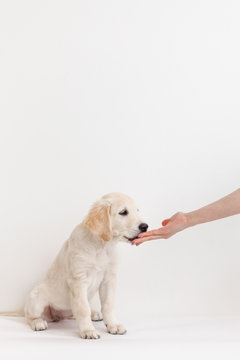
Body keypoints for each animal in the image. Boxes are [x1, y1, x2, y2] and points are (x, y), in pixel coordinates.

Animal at [24, 193, 148, 338]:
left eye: (137, 211)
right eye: (123, 212)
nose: (145, 226)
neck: (102, 246)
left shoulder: (109, 278)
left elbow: (108, 305)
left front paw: (113, 325)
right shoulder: (78, 279)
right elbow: (83, 308)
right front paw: (88, 330)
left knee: (72, 313)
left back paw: (94, 314)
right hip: (36, 297)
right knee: (29, 315)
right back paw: (37, 322)